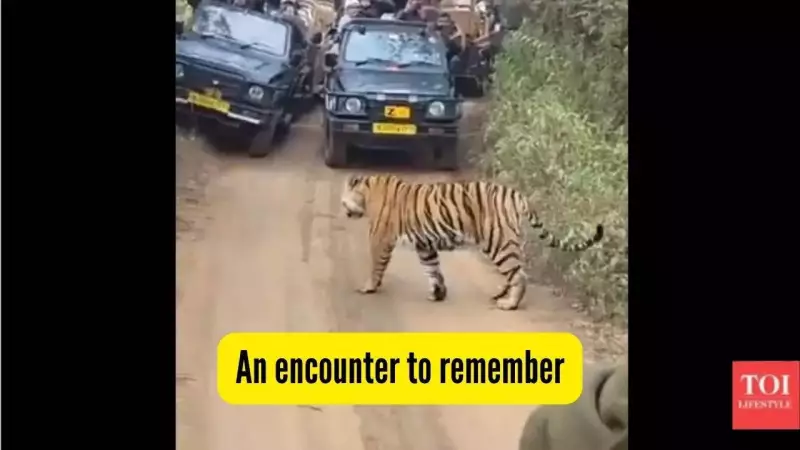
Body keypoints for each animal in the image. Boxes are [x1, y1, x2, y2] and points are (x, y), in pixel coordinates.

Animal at [340, 174, 604, 310]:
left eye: (343, 201)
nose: (344, 212)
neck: (366, 191)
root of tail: (517, 194)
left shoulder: (380, 239)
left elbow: (376, 266)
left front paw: (368, 287)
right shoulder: (425, 245)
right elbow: (432, 269)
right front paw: (438, 293)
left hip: (498, 241)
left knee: (519, 275)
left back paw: (508, 304)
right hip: (507, 242)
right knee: (516, 272)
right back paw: (500, 296)